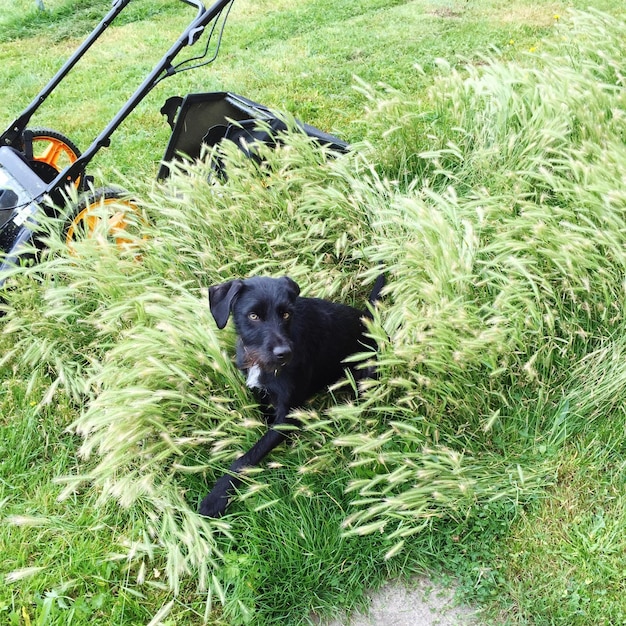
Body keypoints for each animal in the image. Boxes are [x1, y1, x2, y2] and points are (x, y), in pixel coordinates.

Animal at [200, 274, 382, 516]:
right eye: (253, 316)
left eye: (286, 314)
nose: (284, 353)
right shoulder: (262, 394)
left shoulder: (289, 414)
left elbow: (247, 456)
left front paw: (217, 497)